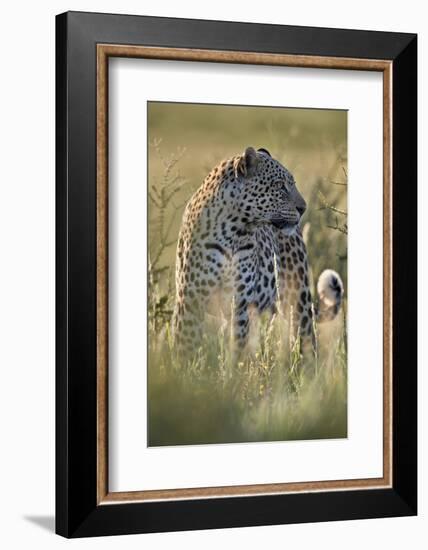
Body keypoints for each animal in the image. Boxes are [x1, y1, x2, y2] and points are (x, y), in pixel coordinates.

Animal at [172, 147, 342, 358]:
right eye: (280, 186)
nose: (303, 208)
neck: (233, 231)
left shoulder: (240, 303)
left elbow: (237, 349)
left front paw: (234, 367)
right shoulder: (190, 300)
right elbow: (185, 346)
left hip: (298, 300)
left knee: (307, 342)